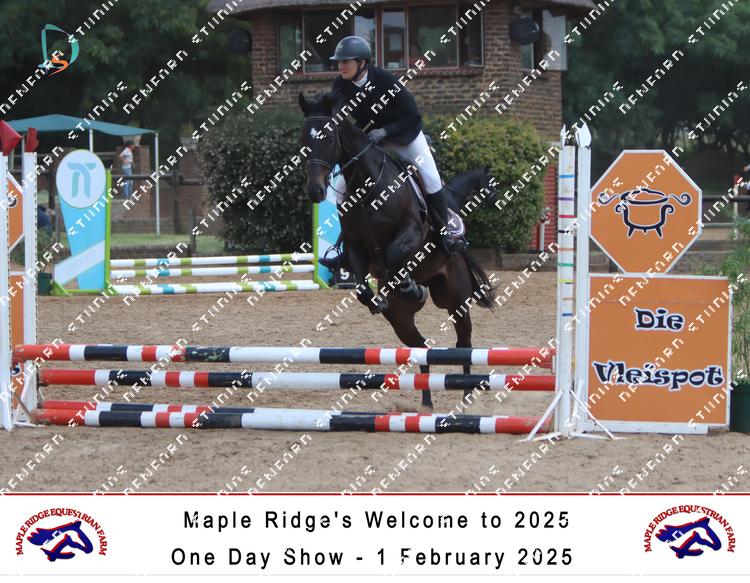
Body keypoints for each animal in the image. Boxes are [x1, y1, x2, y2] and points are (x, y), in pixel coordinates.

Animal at [299, 91, 496, 410]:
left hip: (455, 298)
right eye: (304, 139)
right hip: (402, 320)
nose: (315, 191)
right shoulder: (356, 249)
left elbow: (393, 256)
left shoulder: (411, 232)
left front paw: (409, 284)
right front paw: (382, 297)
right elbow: (362, 287)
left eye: (328, 139)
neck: (367, 186)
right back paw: (426, 401)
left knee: (463, 344)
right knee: (422, 348)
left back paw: (466, 396)